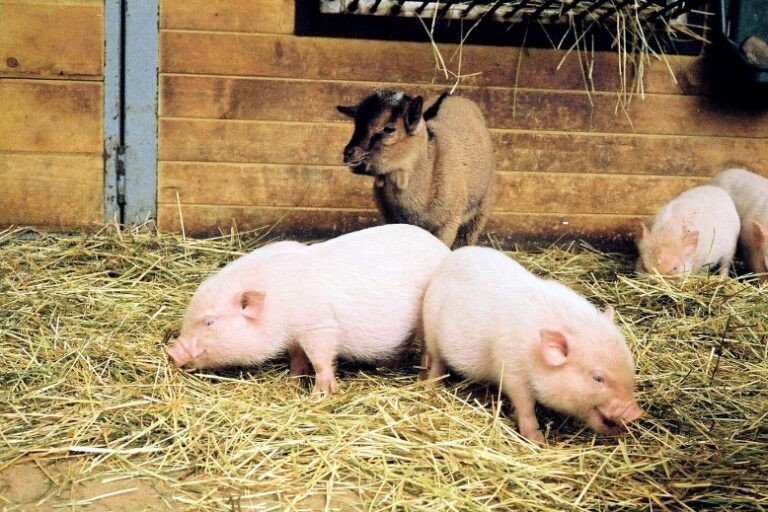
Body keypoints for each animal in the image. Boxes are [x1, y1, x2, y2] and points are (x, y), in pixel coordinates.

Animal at [166, 224, 450, 394]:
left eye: (209, 322)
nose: (171, 352)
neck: (278, 304)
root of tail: (442, 248)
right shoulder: (294, 336)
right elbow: (297, 358)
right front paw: (291, 383)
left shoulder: (319, 327)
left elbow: (321, 361)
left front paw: (320, 394)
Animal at [337, 90, 495, 249]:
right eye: (356, 124)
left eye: (389, 129)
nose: (348, 153)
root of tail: (452, 95)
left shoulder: (448, 224)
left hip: (480, 210)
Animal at [420, 246, 643, 444]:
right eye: (597, 378)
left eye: (631, 367)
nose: (636, 412)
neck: (534, 354)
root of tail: (449, 259)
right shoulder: (512, 371)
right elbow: (525, 405)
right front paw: (538, 441)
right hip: (430, 330)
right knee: (437, 363)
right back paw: (430, 391)